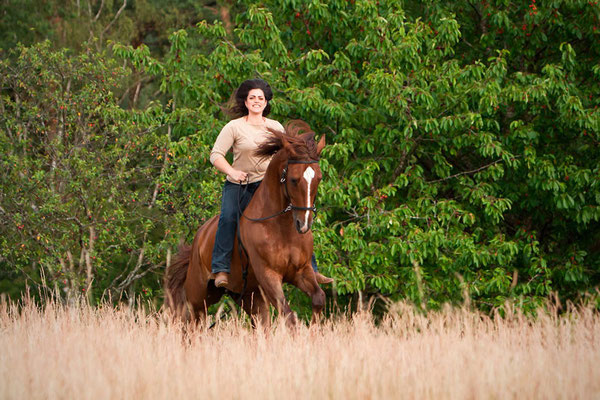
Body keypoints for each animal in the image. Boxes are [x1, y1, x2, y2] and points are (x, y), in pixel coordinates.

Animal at [163, 120, 328, 326]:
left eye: (319, 178)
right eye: (293, 179)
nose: (303, 224)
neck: (281, 228)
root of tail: (199, 238)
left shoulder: (301, 271)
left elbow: (318, 298)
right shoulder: (268, 275)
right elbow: (288, 314)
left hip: (248, 295)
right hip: (199, 294)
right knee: (191, 320)